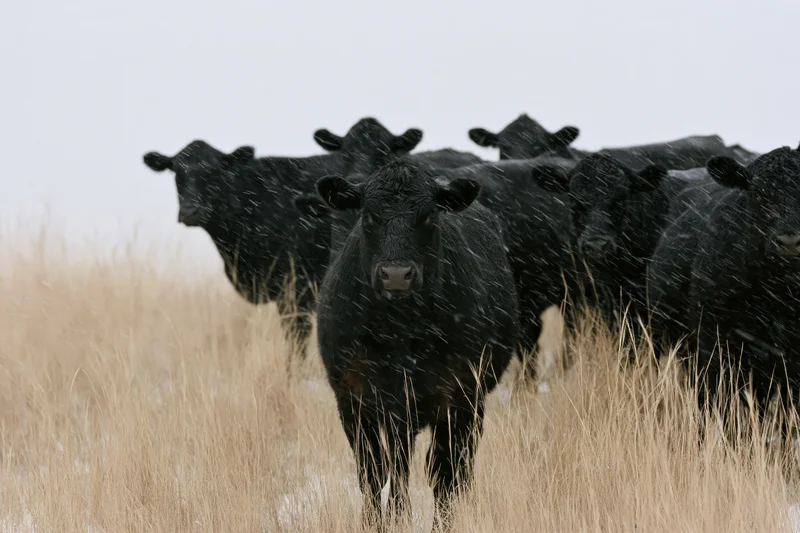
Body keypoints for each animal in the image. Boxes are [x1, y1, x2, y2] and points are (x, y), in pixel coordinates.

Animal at [314, 158, 519, 530]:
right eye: (369, 215)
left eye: (428, 215)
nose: (396, 275)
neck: (401, 333)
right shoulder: (354, 397)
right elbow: (375, 471)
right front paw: (379, 523)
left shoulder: (459, 395)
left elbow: (444, 474)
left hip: (474, 403)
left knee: (458, 469)